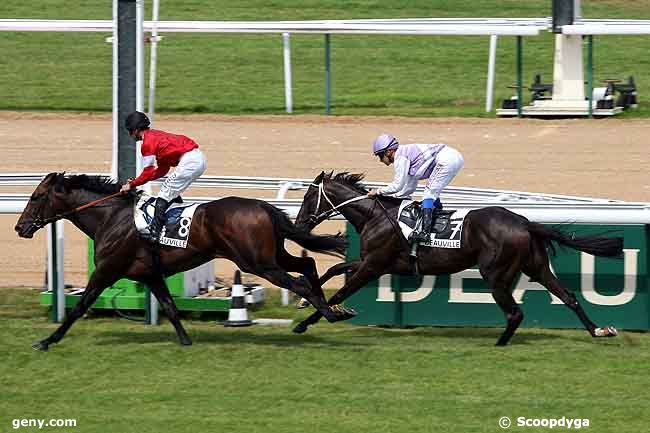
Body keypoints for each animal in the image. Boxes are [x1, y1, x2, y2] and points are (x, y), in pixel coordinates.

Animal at [15, 172, 350, 352]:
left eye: (36, 196)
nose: (20, 227)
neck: (110, 217)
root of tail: (265, 207)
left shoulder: (107, 270)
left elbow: (80, 306)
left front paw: (47, 340)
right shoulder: (150, 274)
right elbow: (170, 306)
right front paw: (186, 341)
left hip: (258, 263)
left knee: (298, 282)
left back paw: (326, 314)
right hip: (271, 256)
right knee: (307, 265)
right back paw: (331, 310)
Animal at [292, 172, 624, 344]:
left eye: (308, 198)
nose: (299, 224)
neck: (375, 215)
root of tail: (523, 221)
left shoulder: (374, 266)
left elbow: (343, 289)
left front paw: (308, 322)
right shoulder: (374, 262)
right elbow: (336, 267)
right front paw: (303, 298)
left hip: (496, 274)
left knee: (515, 312)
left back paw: (500, 343)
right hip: (537, 266)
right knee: (568, 296)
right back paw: (599, 330)